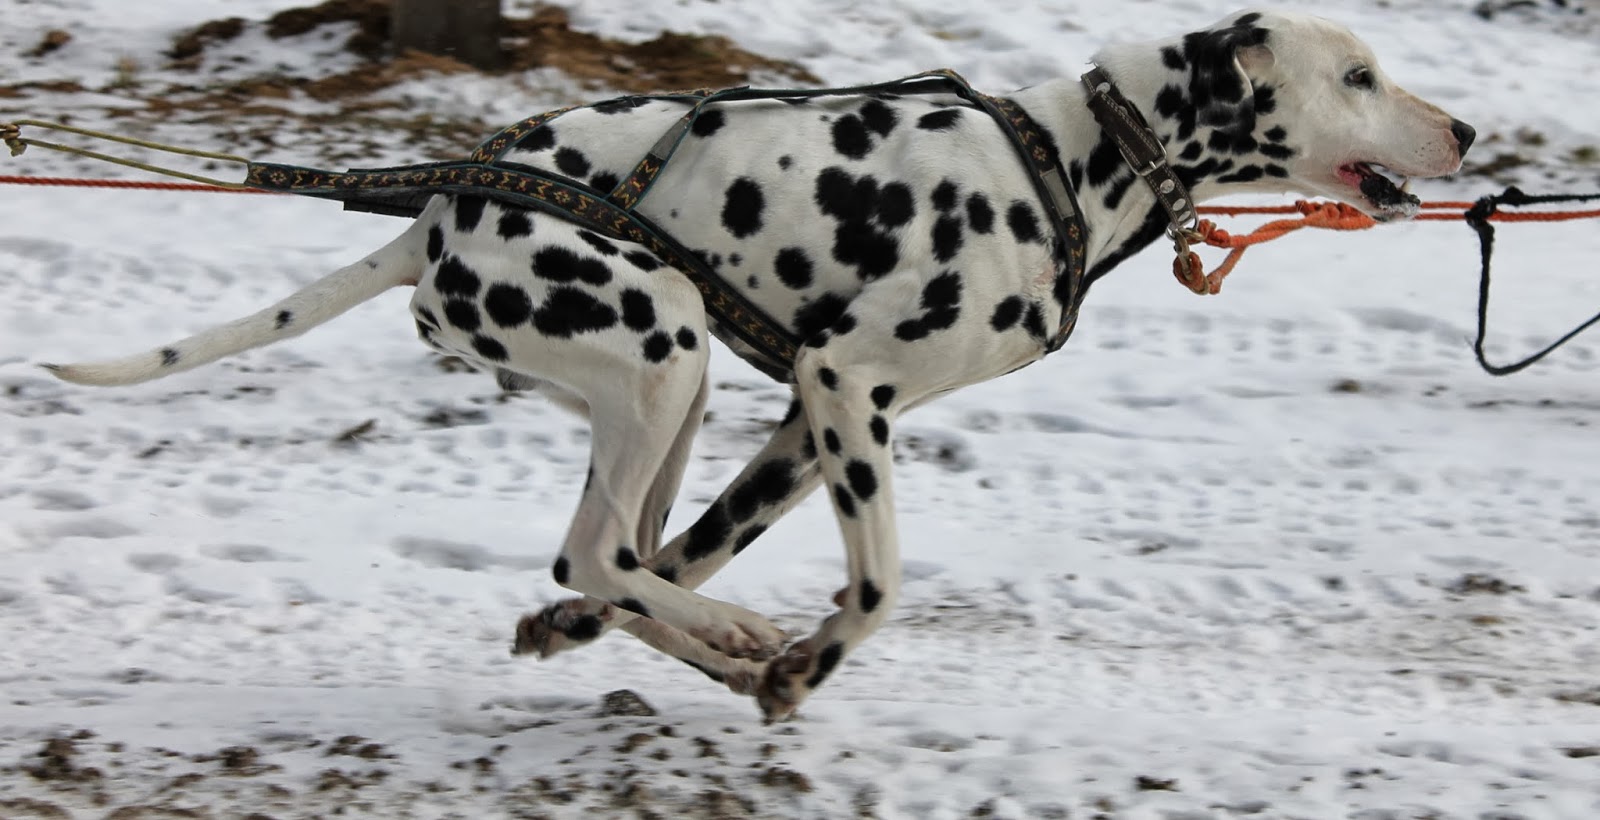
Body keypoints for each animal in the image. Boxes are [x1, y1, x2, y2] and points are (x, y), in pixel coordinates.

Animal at [41, 9, 1474, 721]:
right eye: (1358, 73)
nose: (1463, 128)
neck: (1069, 163)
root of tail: (435, 212)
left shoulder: (804, 425)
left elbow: (685, 559)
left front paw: (675, 646)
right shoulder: (846, 391)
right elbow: (875, 589)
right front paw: (798, 662)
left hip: (672, 394)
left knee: (609, 557)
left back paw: (704, 646)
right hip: (661, 340)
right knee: (599, 549)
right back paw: (740, 647)